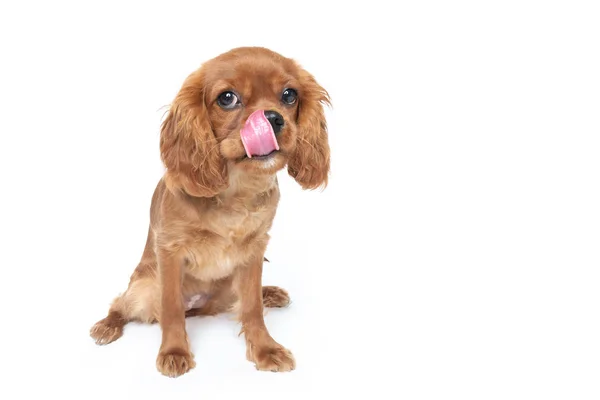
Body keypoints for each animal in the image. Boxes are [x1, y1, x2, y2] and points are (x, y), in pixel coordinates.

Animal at [91, 47, 330, 378]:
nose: (271, 118)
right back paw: (107, 326)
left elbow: (252, 308)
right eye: (227, 98)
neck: (237, 190)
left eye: (289, 95)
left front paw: (265, 349)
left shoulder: (255, 250)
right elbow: (171, 309)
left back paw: (270, 293)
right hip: (144, 288)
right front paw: (174, 351)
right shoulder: (170, 251)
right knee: (122, 304)